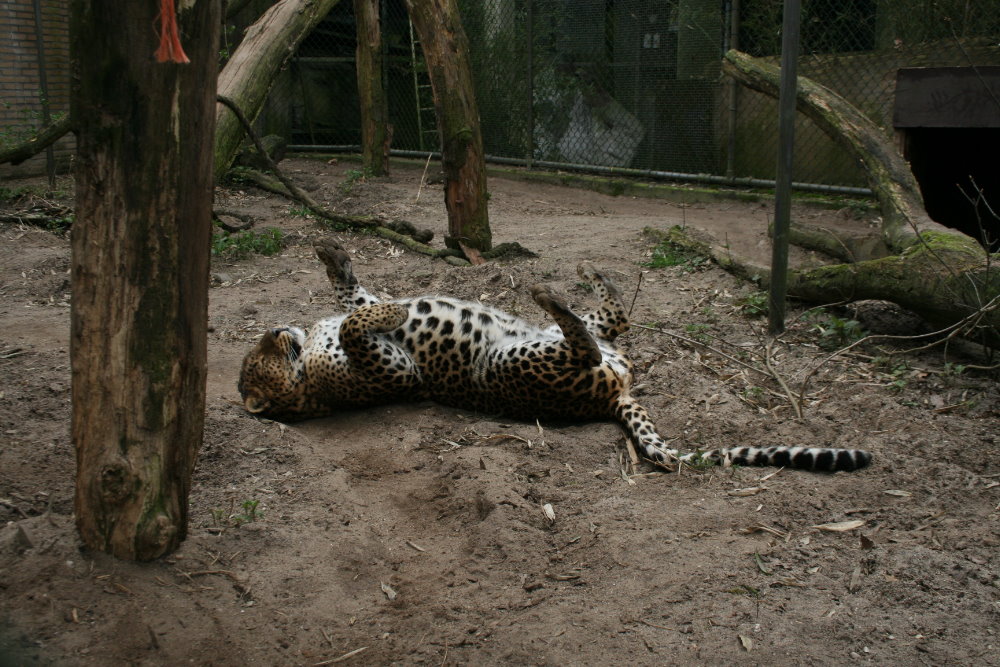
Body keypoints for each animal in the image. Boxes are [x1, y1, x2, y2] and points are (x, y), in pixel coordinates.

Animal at [238, 239, 872, 472]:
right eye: (254, 361)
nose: (273, 328)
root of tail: (615, 396)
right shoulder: (394, 369)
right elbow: (355, 324)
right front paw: (386, 307)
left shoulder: (362, 315)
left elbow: (352, 300)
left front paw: (332, 254)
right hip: (514, 362)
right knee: (585, 338)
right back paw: (552, 291)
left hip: (573, 340)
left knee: (611, 317)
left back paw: (593, 276)